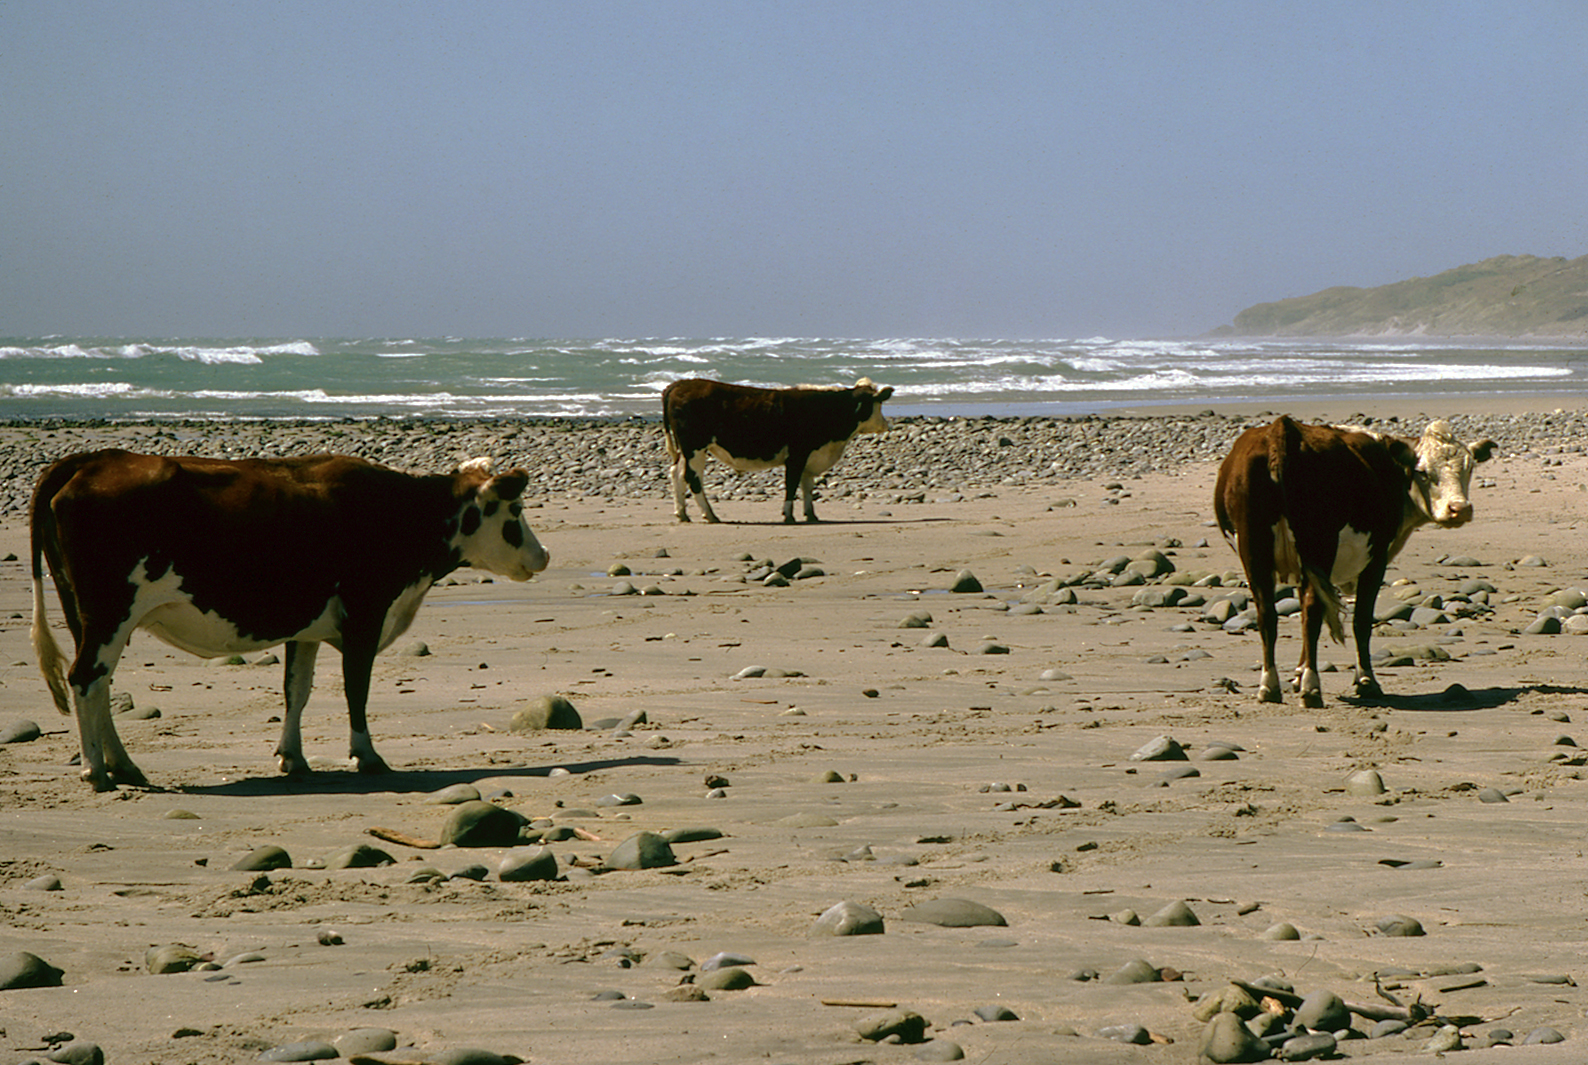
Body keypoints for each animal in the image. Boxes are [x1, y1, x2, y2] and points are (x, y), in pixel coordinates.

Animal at [29, 450, 552, 790]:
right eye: (516, 511)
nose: (544, 555)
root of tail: (90, 459)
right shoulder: (365, 614)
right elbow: (356, 689)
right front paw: (367, 756)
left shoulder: (308, 628)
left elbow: (296, 690)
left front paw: (294, 758)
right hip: (109, 613)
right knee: (86, 678)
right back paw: (97, 771)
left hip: (86, 617)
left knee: (99, 684)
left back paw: (123, 766)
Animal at [660, 377, 895, 523]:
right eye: (878, 404)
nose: (886, 425)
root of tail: (680, 384)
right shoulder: (797, 455)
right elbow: (791, 485)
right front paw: (789, 515)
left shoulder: (810, 457)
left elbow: (807, 487)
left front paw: (811, 515)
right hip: (695, 447)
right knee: (692, 478)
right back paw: (710, 515)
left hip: (686, 450)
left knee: (677, 474)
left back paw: (682, 514)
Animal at [1213, 415, 1499, 707]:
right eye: (1423, 472)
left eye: (1469, 469)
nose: (1459, 509)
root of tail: (1281, 429)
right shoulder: (1376, 559)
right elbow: (1361, 620)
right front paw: (1366, 681)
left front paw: (1297, 674)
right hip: (1318, 546)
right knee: (1312, 612)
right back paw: (1312, 687)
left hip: (1253, 551)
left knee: (1269, 614)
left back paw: (1270, 686)